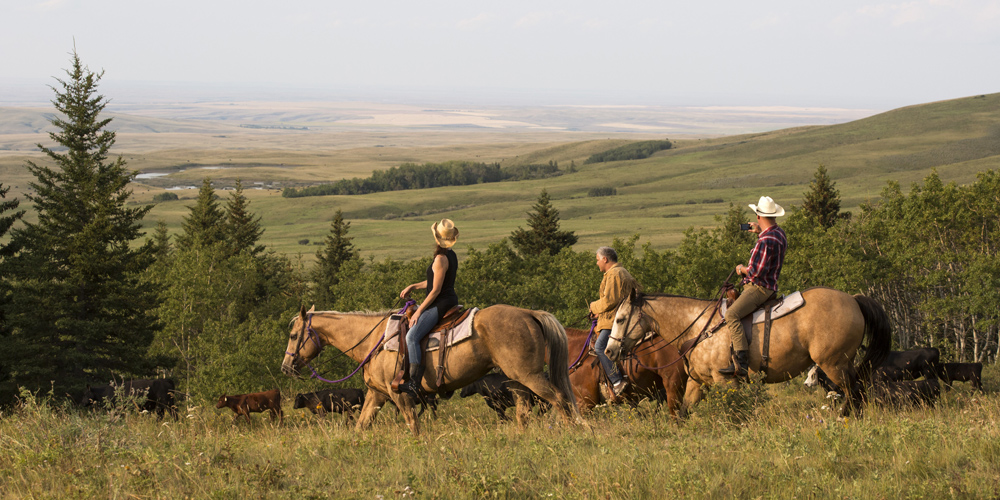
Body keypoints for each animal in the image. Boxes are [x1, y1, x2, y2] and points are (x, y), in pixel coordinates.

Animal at [282, 302, 584, 436]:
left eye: (294, 335)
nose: (286, 367)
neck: (375, 341)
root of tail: (529, 313)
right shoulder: (376, 395)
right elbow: (361, 425)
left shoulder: (401, 395)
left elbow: (413, 425)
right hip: (518, 379)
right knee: (524, 408)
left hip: (529, 376)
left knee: (559, 399)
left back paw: (572, 433)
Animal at [600, 288, 892, 416]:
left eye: (621, 318)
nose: (610, 350)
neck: (698, 327)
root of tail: (853, 299)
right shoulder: (698, 383)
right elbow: (684, 411)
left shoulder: (725, 380)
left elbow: (735, 412)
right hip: (843, 363)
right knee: (858, 392)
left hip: (834, 364)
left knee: (853, 393)